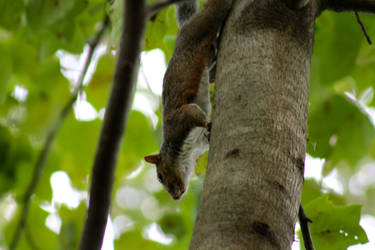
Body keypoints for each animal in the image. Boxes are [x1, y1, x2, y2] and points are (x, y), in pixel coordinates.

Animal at [144, 0, 232, 199]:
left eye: (160, 176)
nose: (175, 197)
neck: (188, 152)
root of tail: (184, 26)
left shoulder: (179, 121)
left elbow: (194, 114)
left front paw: (208, 124)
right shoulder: (198, 142)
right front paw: (208, 131)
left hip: (201, 25)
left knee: (213, 10)